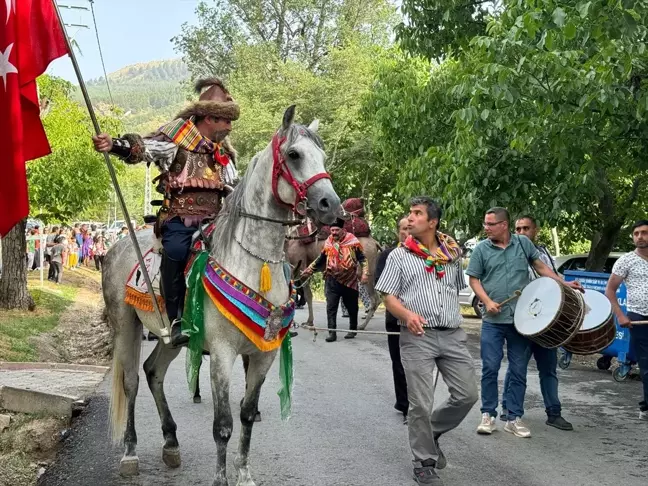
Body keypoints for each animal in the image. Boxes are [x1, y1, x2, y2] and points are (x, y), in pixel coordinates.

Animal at [102, 107, 340, 486]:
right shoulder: (223, 355)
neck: (253, 263)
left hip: (171, 338)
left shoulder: (262, 355)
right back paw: (130, 452)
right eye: (294, 155)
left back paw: (171, 443)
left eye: (323, 156)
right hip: (125, 325)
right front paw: (221, 478)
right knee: (131, 381)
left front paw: (243, 474)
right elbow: (223, 425)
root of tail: (118, 245)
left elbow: (246, 415)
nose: (331, 206)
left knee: (153, 372)